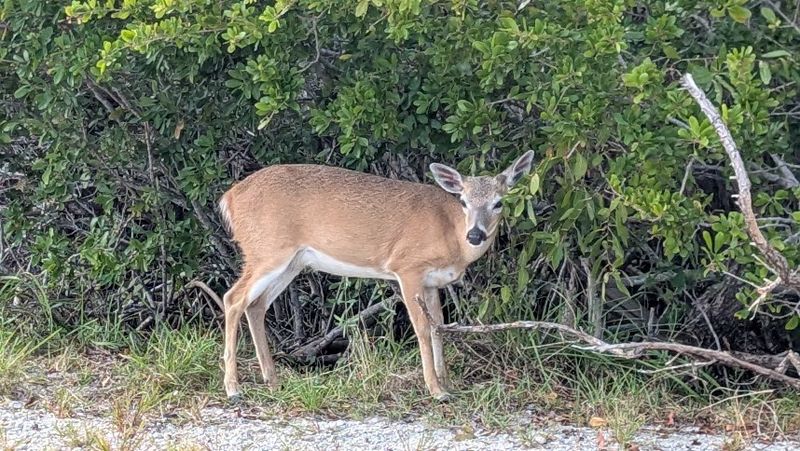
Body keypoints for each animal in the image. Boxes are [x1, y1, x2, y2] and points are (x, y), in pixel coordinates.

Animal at [218, 150, 534, 401]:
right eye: (464, 202)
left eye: (498, 203)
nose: (475, 235)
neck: (451, 234)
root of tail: (229, 198)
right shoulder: (407, 267)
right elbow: (421, 328)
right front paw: (435, 390)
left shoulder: (433, 283)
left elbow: (438, 327)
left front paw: (447, 384)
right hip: (268, 250)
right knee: (233, 298)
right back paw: (233, 388)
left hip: (291, 262)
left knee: (256, 305)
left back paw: (272, 381)